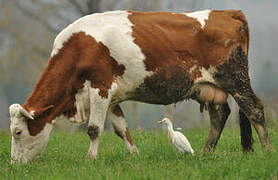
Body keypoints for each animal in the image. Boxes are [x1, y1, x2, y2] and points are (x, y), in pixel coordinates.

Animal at [9, 9, 274, 162]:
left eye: (18, 132)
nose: (13, 164)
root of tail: (229, 12)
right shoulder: (112, 96)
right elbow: (120, 128)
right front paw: (134, 154)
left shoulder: (100, 88)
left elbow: (94, 128)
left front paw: (90, 159)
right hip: (209, 87)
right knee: (220, 115)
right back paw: (206, 152)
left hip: (236, 79)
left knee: (254, 109)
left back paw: (267, 149)